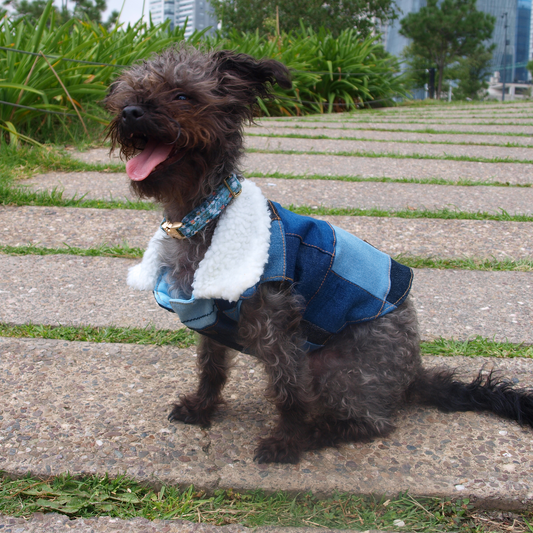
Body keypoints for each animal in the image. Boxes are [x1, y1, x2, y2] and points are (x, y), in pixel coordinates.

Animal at [104, 45, 532, 462]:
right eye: (128, 91)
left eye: (182, 96)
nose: (130, 111)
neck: (203, 216)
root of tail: (413, 377)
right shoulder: (208, 315)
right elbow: (211, 368)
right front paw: (201, 407)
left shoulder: (279, 331)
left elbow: (289, 394)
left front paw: (287, 441)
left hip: (340, 370)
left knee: (371, 422)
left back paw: (316, 433)